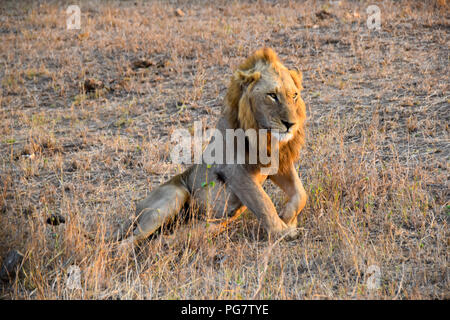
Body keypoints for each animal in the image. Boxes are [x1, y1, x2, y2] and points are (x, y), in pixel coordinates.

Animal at [121, 47, 308, 242]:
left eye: (294, 95)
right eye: (272, 95)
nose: (291, 124)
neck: (265, 135)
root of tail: (136, 209)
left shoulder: (278, 165)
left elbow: (301, 193)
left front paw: (288, 218)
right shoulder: (236, 171)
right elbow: (263, 203)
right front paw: (282, 232)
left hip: (208, 226)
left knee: (161, 240)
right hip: (174, 196)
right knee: (129, 241)